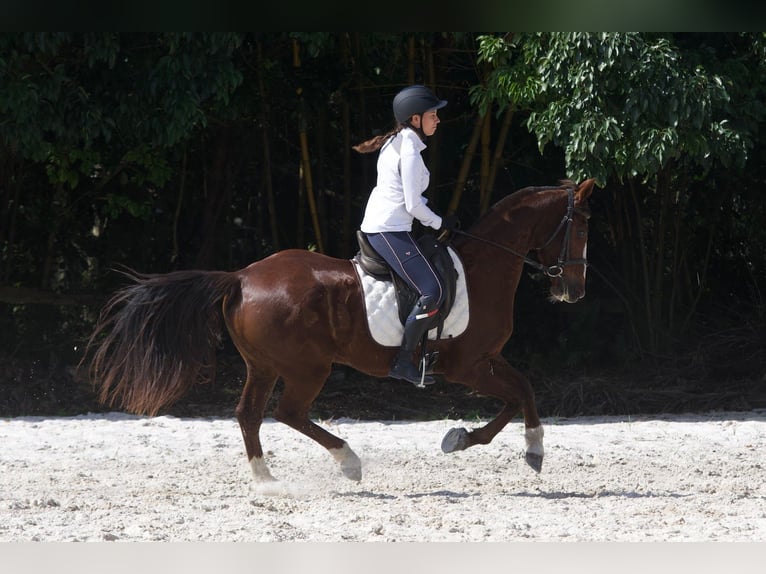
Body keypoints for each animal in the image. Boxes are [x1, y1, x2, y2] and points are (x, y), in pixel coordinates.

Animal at [85, 178, 600, 484]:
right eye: (581, 229)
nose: (574, 290)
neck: (481, 269)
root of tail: (242, 276)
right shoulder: (468, 366)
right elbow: (519, 394)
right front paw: (530, 450)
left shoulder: (486, 359)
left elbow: (522, 391)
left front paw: (465, 439)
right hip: (307, 367)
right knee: (288, 413)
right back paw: (347, 461)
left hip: (263, 365)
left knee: (249, 414)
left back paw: (266, 481)